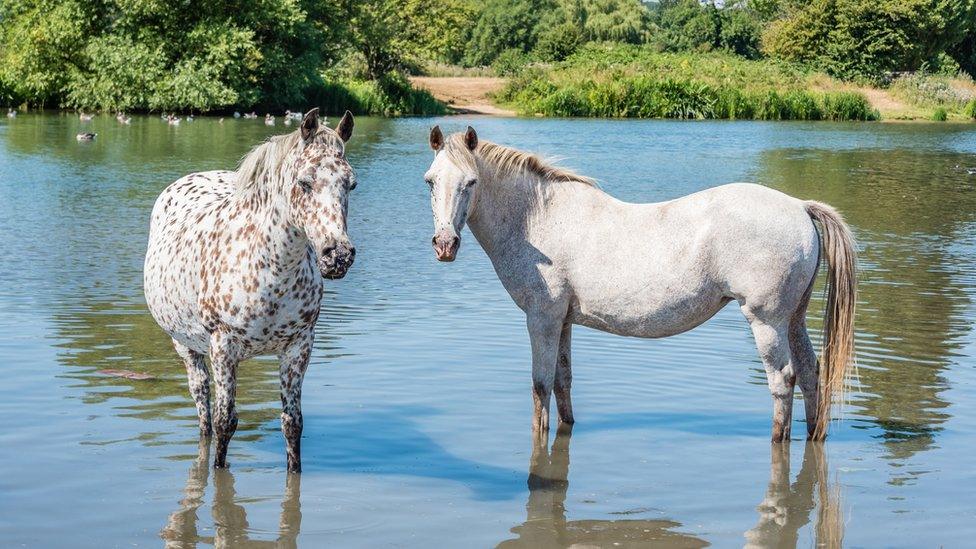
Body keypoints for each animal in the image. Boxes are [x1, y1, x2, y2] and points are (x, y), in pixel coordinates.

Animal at [143, 108, 356, 470]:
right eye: (305, 182)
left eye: (351, 184)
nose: (337, 255)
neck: (269, 268)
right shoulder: (224, 348)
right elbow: (225, 422)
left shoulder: (299, 347)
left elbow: (292, 424)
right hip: (186, 346)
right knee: (202, 405)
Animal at [424, 127, 856, 440]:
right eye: (430, 181)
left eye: (472, 182)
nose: (445, 245)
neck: (537, 219)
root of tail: (799, 206)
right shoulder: (562, 321)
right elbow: (563, 382)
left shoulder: (541, 319)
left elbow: (540, 386)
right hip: (794, 319)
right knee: (811, 373)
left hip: (767, 322)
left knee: (783, 381)